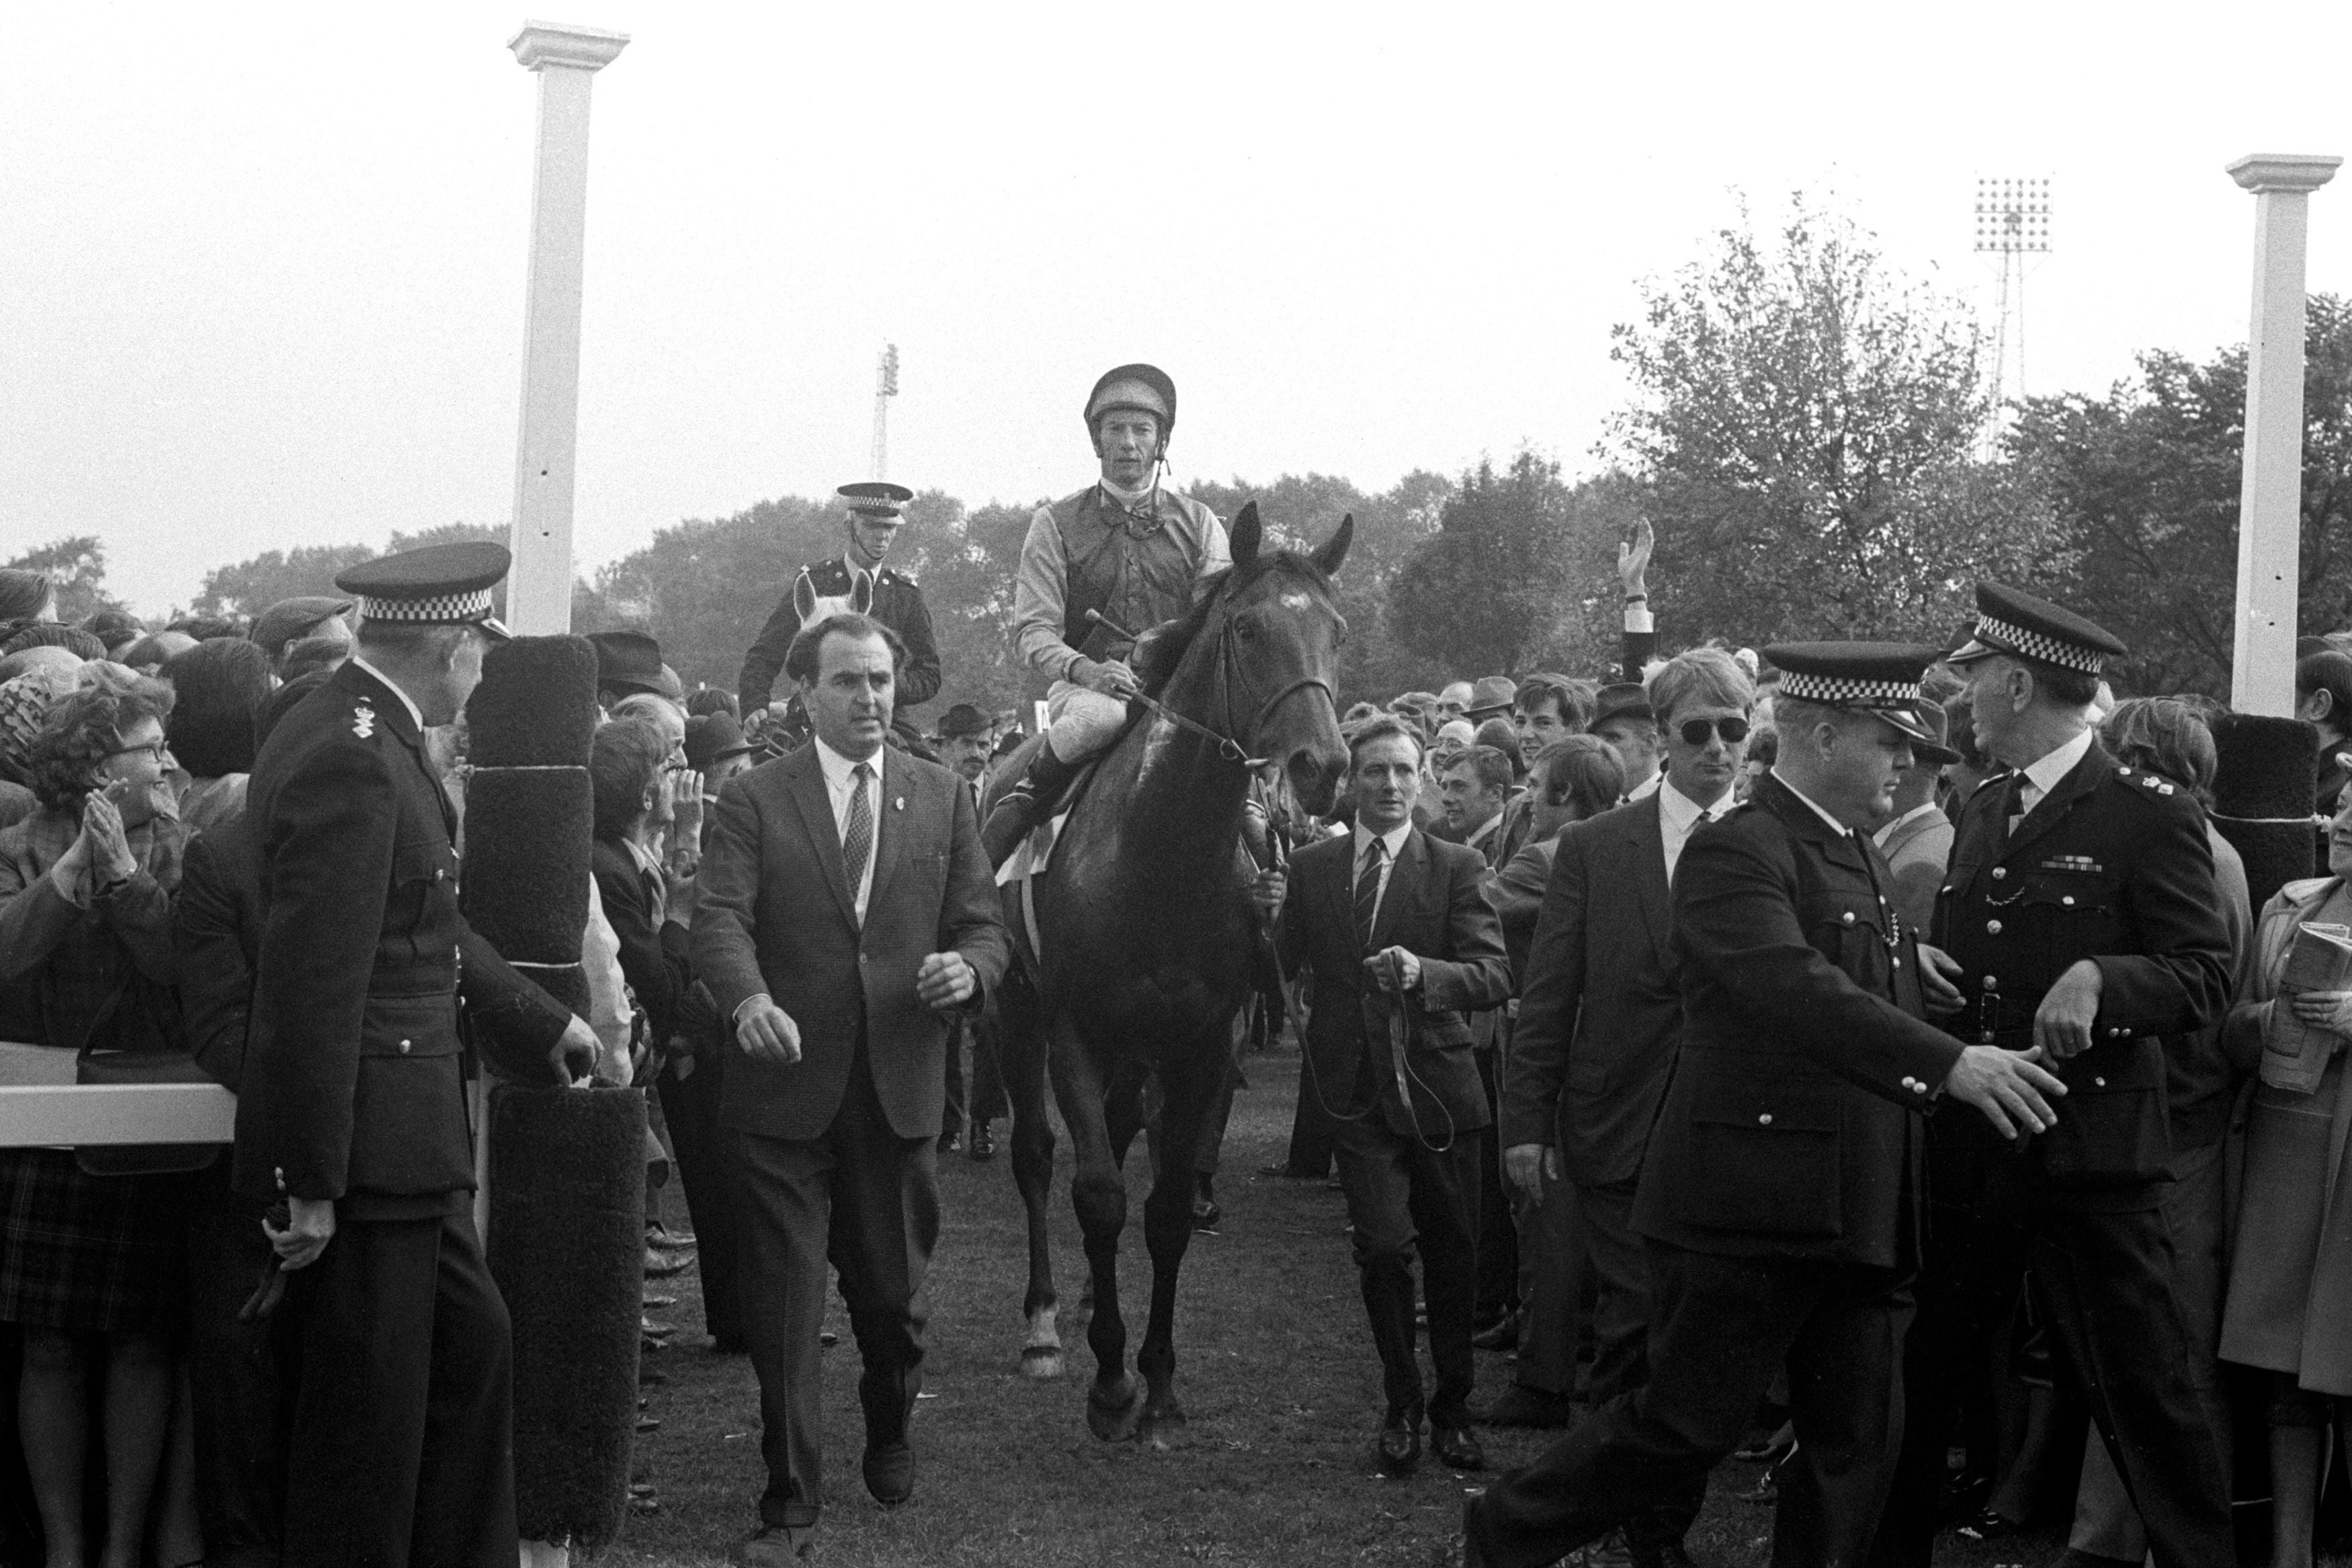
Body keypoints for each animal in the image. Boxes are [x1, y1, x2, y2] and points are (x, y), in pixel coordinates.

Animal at [988, 503, 1355, 1448]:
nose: (1323, 768)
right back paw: (1044, 1323)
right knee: (1038, 1157)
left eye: (1335, 630)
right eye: (1248, 628)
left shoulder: (1199, 1044)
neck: (1158, 858)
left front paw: (1154, 1382)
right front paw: (1108, 1384)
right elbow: (1096, 1194)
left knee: (1117, 1136)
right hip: (1016, 1013)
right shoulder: (1074, 1032)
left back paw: (1088, 1299)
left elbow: (1158, 1211)